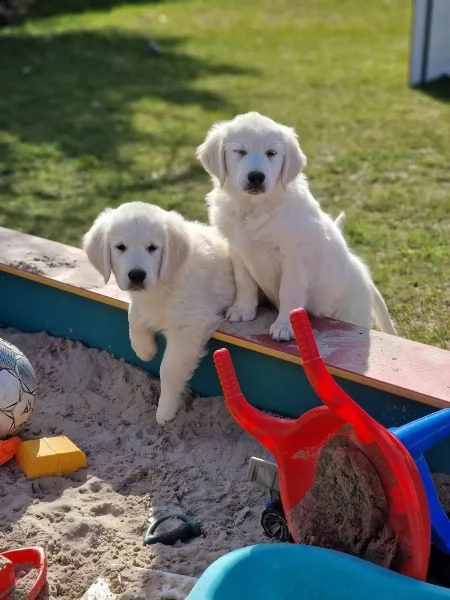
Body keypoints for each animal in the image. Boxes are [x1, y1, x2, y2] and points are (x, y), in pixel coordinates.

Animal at [82, 203, 236, 426]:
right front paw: (144, 349)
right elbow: (134, 315)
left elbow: (169, 370)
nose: (137, 275)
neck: (162, 285)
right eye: (120, 247)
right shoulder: (142, 303)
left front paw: (165, 410)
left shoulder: (189, 326)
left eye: (152, 248)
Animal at [197, 110, 398, 340]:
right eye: (239, 151)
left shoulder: (294, 258)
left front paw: (285, 326)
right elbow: (244, 282)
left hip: (349, 314)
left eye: (272, 153)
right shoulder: (238, 251)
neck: (256, 207)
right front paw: (242, 310)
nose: (256, 177)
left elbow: (289, 292)